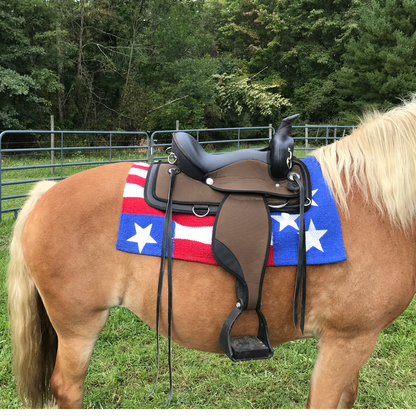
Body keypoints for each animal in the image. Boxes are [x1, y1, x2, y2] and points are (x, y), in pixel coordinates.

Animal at [5, 98, 416, 410]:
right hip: (78, 326)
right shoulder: (347, 341)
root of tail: (46, 191)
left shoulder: (351, 344)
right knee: (67, 388)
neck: (375, 205)